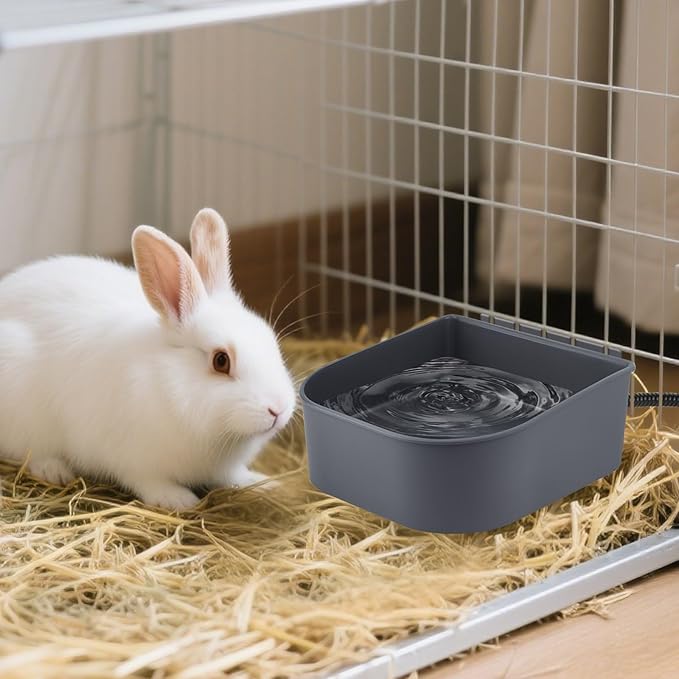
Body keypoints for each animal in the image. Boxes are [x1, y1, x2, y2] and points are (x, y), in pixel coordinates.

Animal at [0, 208, 296, 510]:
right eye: (221, 361)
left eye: (270, 339)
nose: (279, 409)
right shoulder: (131, 459)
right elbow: (147, 482)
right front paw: (178, 500)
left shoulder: (225, 469)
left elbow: (234, 476)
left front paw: (265, 484)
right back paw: (54, 470)